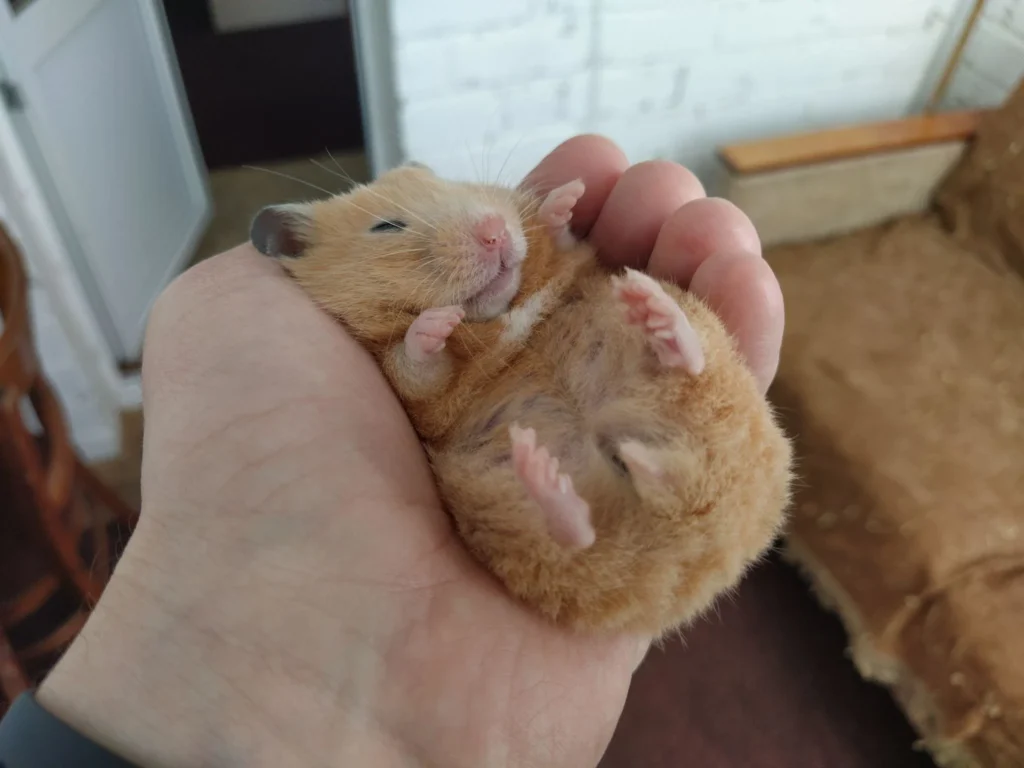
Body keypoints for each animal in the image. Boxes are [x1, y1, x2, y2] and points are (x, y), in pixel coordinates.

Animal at [249, 162, 793, 638]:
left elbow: (560, 238)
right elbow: (416, 362)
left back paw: (653, 313)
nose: (494, 232)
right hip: (497, 511)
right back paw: (544, 473)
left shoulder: (571, 258)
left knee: (694, 363)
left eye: (457, 184)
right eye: (386, 226)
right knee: (577, 535)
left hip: (720, 379)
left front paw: (564, 198)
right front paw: (435, 323)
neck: (498, 314)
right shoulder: (419, 397)